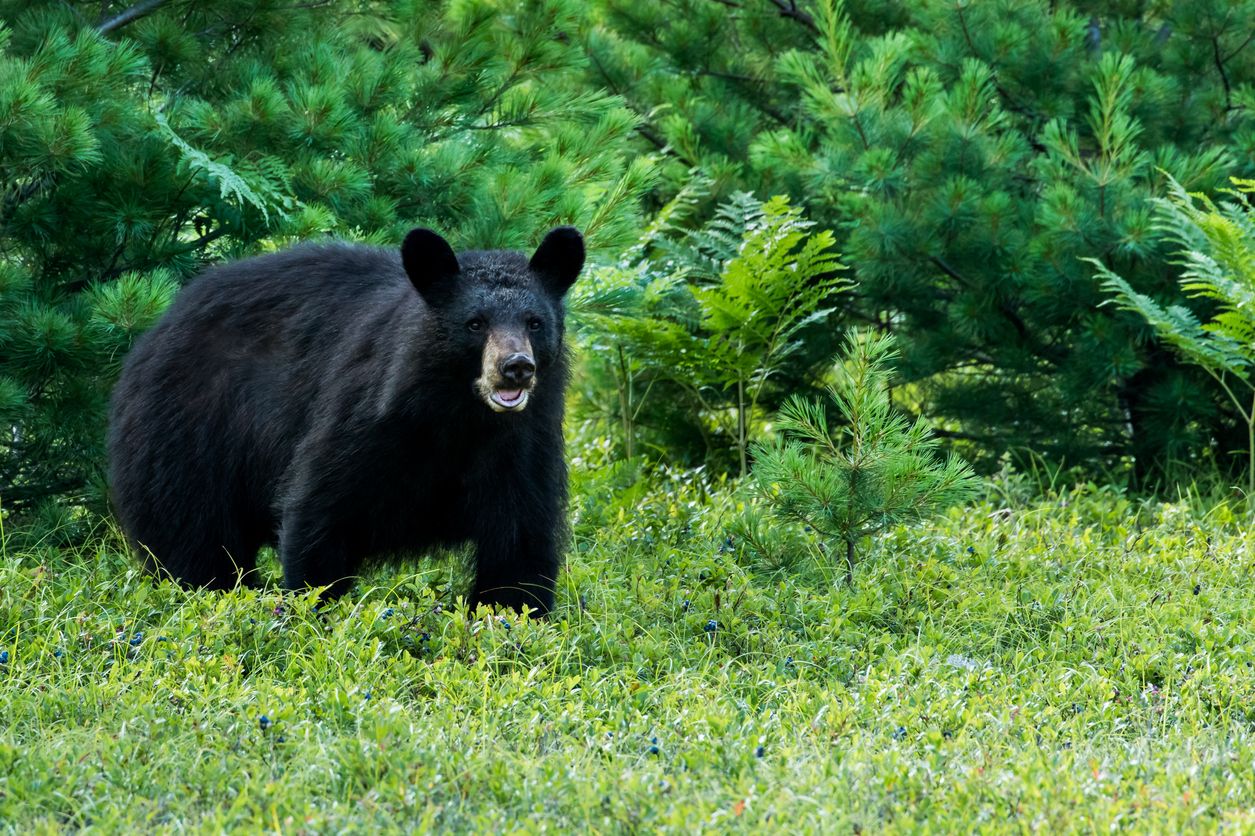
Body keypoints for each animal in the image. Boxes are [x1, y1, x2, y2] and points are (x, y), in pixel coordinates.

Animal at [107, 225, 582, 612]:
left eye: (534, 322)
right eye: (475, 323)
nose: (516, 367)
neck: (461, 418)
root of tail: (157, 328)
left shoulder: (522, 442)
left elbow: (519, 544)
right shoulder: (368, 417)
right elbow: (320, 510)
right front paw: (310, 610)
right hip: (189, 433)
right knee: (194, 536)